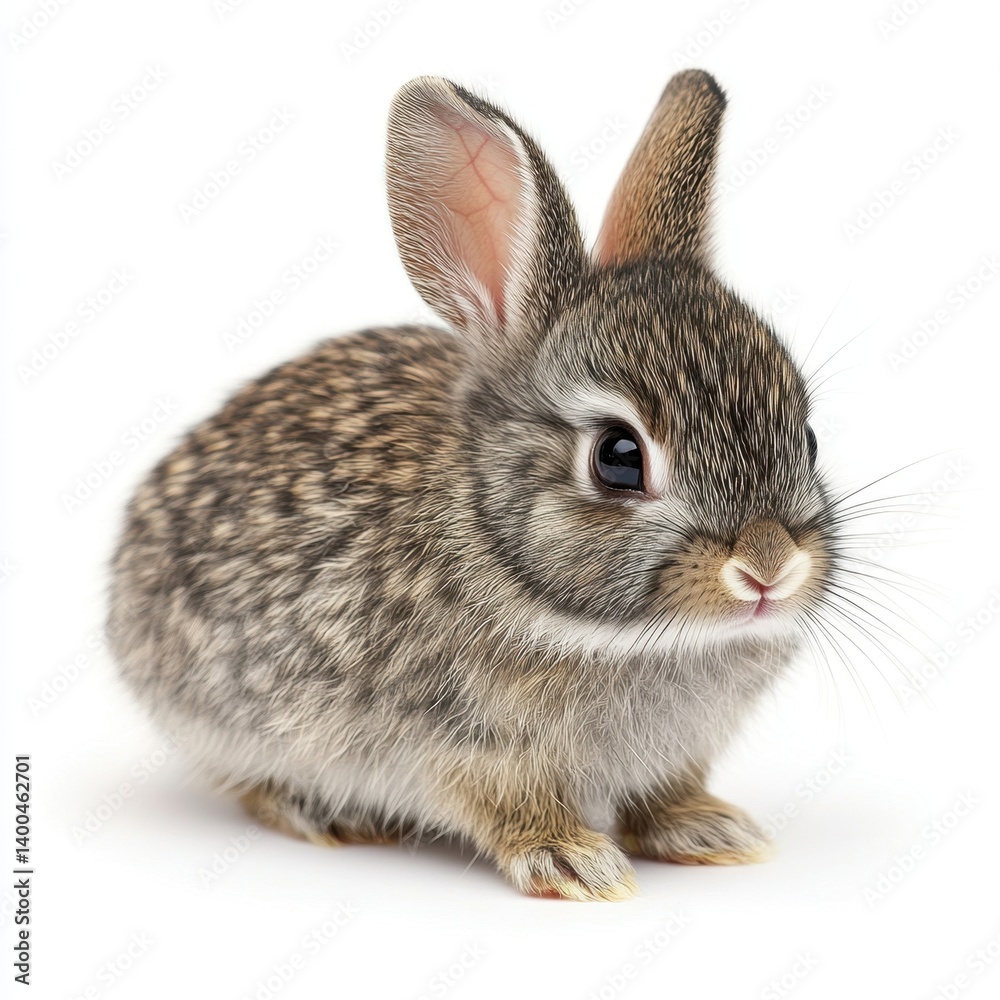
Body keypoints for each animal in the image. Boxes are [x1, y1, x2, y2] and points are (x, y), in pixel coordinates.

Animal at [108, 69, 837, 901]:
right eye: (618, 457)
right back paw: (322, 812)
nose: (769, 567)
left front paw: (709, 829)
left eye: (808, 437)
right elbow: (506, 805)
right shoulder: (463, 747)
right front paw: (575, 861)